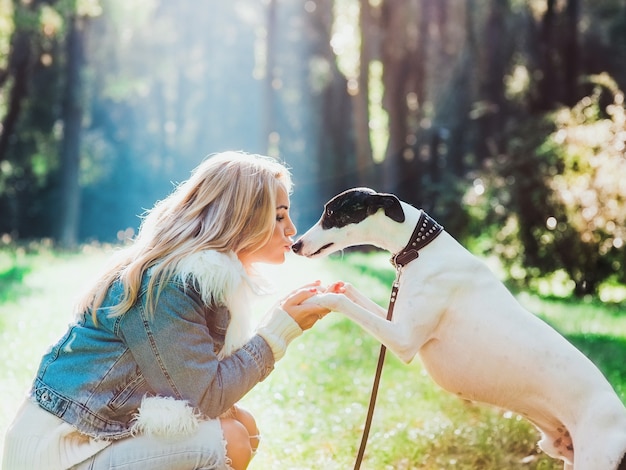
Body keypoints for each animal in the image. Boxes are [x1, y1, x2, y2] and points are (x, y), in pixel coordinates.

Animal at [292, 187, 624, 470]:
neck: (420, 248)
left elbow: (340, 300)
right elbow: (349, 290)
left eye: (332, 214)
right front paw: (328, 287)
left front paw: (314, 299)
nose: (295, 245)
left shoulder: (403, 340)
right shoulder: (396, 321)